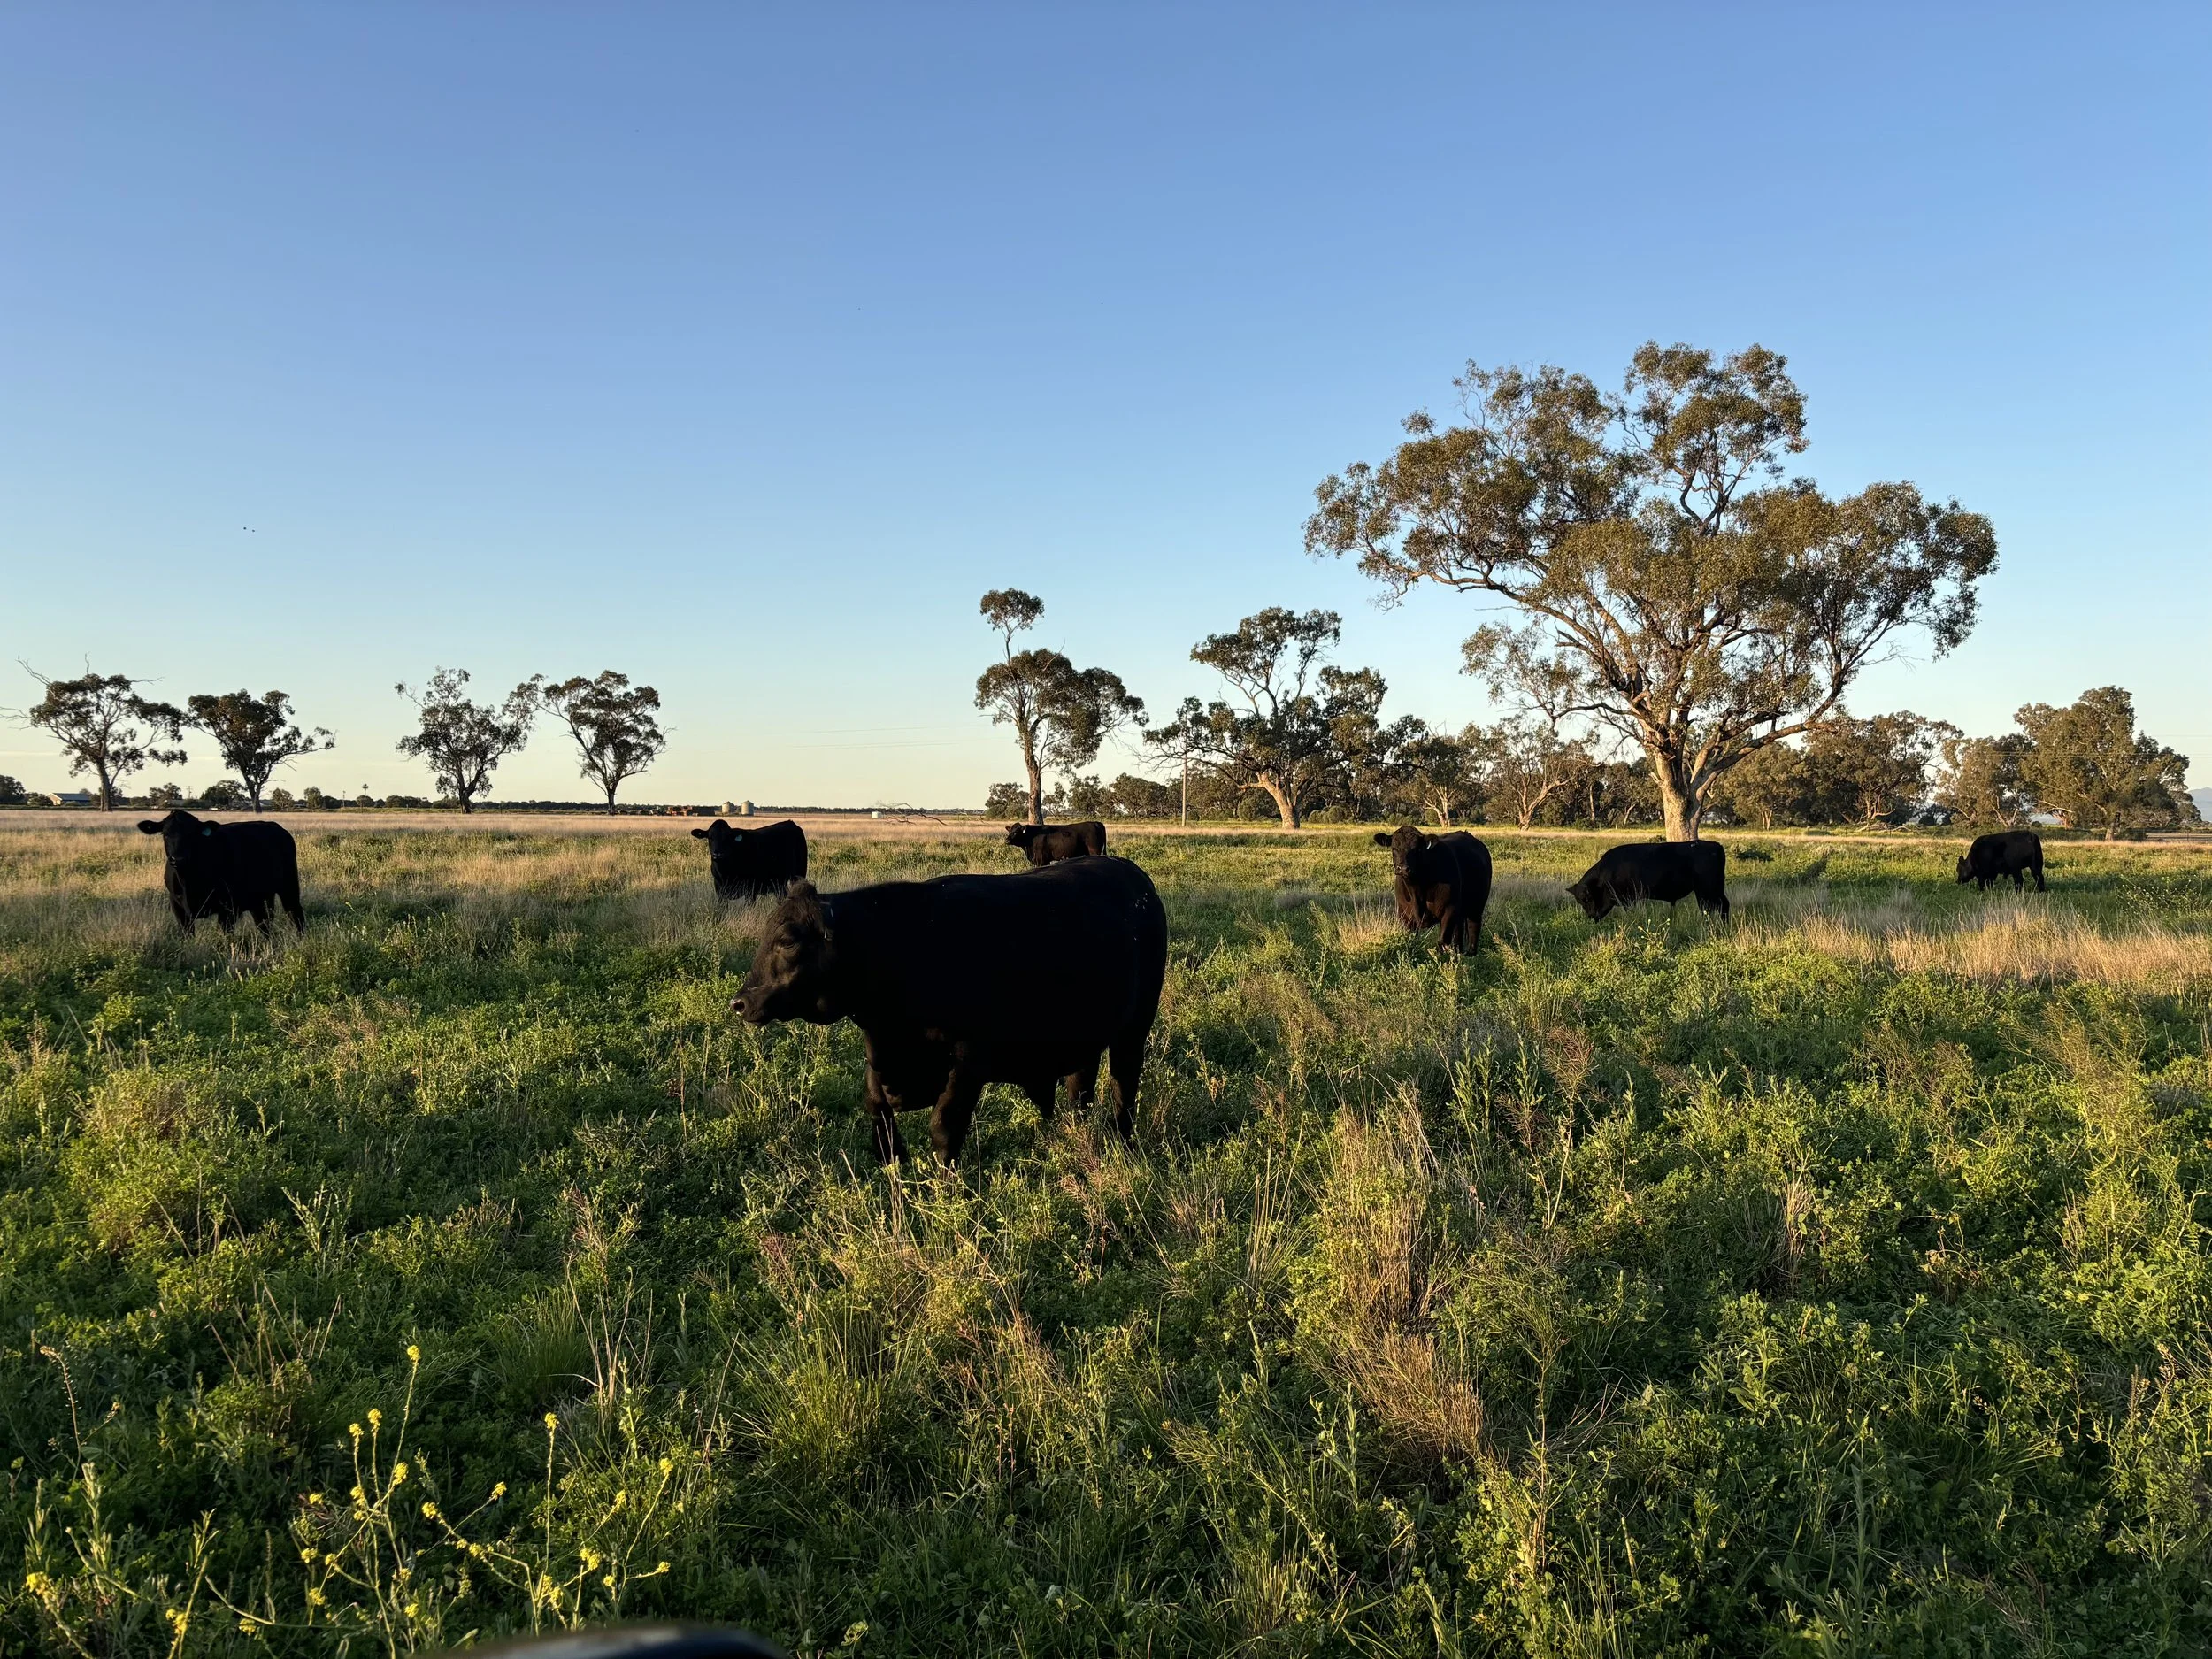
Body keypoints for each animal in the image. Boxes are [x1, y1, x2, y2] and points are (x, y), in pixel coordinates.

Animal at [136, 809, 305, 935]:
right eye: (165, 834)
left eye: (192, 835)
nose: (179, 859)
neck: (188, 881)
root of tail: (277, 828)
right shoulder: (179, 909)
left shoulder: (228, 908)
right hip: (257, 899)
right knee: (264, 923)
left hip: (289, 887)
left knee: (295, 914)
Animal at [691, 818, 808, 901]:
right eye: (710, 838)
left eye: (727, 838)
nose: (718, 853)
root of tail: (790, 823)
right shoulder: (719, 890)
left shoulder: (751, 890)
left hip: (799, 874)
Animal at [729, 855, 1167, 1166]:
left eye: (788, 940)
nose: (741, 1002)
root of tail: (1135, 877)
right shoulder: (881, 1065)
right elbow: (879, 1119)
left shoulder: (968, 1064)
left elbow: (944, 1128)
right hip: (1085, 1036)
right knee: (1080, 1087)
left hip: (1133, 1033)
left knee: (1123, 1089)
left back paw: (1125, 1145)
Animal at [1372, 826, 1492, 953]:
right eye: (1394, 848)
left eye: (1417, 849)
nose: (1404, 869)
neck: (1416, 891)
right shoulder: (1404, 914)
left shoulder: (1449, 909)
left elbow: (1442, 941)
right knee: (1458, 933)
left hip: (1477, 906)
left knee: (1473, 927)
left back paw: (1470, 953)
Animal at [1567, 840, 1730, 922]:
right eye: (1579, 901)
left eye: (1587, 898)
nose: (1591, 916)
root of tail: (1716, 846)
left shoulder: (1630, 899)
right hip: (1714, 888)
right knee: (1723, 905)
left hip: (1706, 890)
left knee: (1712, 907)